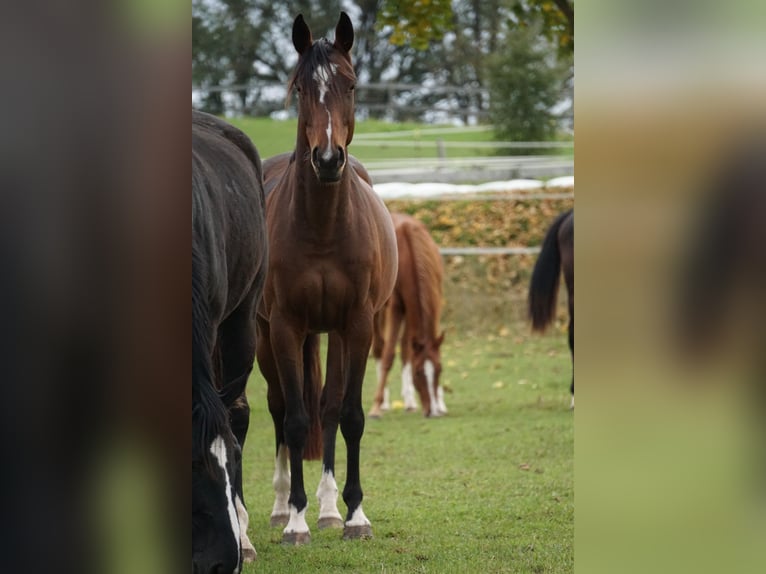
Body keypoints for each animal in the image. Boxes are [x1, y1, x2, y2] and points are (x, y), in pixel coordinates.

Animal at [255, 13, 398, 545]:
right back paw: (282, 507)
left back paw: (330, 508)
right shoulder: (285, 327)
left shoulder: (357, 325)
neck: (320, 227)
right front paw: (296, 520)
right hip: (265, 337)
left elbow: (349, 415)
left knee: (330, 407)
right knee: (279, 408)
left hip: (335, 334)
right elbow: (296, 421)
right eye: (299, 88)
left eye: (351, 84)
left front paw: (353, 514)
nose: (328, 159)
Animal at [369, 213, 446, 418]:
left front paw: (440, 402)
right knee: (379, 348)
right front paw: (376, 406)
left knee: (405, 348)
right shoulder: (396, 307)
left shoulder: (431, 302)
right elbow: (388, 355)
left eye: (439, 369)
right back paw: (384, 402)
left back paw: (409, 401)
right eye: (418, 373)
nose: (432, 412)